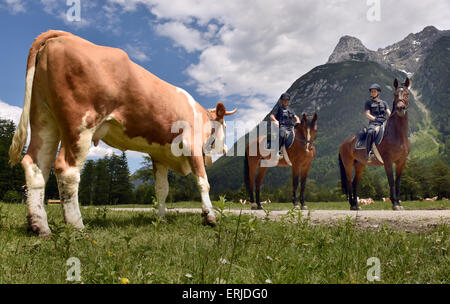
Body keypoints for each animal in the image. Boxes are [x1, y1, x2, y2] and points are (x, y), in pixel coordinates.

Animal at [9, 30, 236, 236]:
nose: (225, 148)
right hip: (80, 124)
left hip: (44, 119)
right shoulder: (192, 146)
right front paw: (209, 217)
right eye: (225, 126)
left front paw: (161, 219)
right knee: (67, 170)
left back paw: (40, 227)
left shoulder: (160, 156)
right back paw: (77, 227)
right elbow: (203, 182)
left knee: (35, 166)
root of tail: (63, 35)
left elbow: (162, 190)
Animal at [338, 77, 412, 210]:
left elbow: (397, 182)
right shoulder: (388, 161)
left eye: (407, 94)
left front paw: (399, 203)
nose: (400, 108)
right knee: (349, 182)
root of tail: (344, 142)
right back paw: (352, 205)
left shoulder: (401, 162)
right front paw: (394, 203)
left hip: (360, 165)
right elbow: (391, 181)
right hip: (348, 164)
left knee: (355, 183)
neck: (398, 134)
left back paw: (356, 205)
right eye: (395, 94)